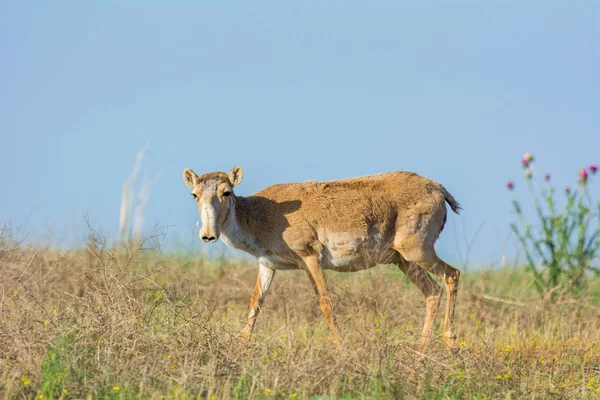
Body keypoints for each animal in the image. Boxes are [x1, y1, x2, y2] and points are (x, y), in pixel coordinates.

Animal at [180, 166, 462, 350]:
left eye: (226, 192)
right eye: (194, 194)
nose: (208, 235)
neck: (259, 215)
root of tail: (439, 189)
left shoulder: (310, 256)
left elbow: (326, 303)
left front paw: (341, 349)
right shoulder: (267, 265)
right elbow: (254, 306)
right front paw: (239, 351)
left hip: (417, 251)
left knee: (452, 275)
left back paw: (450, 341)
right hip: (402, 260)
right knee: (432, 292)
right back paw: (421, 352)